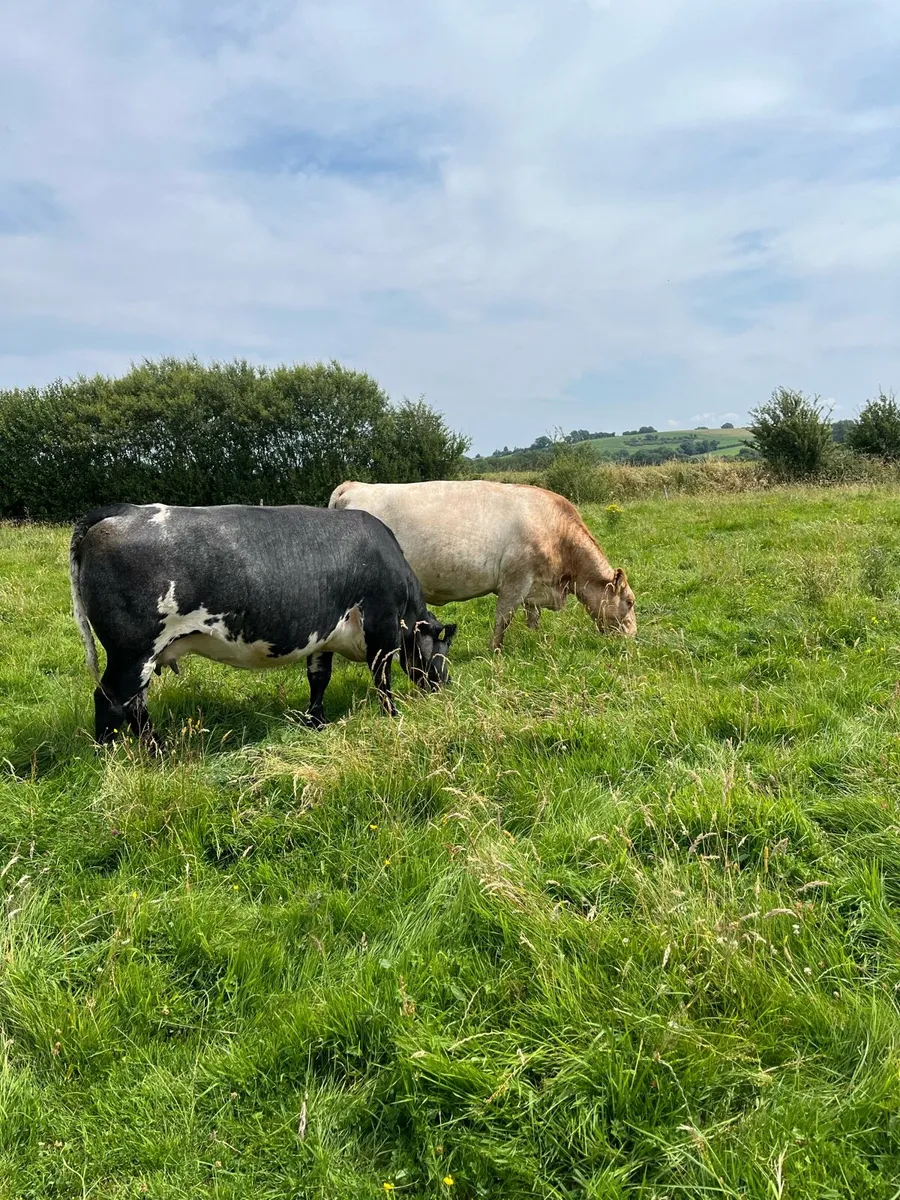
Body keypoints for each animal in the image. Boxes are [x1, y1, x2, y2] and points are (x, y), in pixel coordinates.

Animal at [70, 502, 457, 751]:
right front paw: (392, 716)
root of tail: (124, 510)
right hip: (132, 650)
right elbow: (382, 679)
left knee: (135, 704)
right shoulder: (382, 625)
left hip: (142, 655)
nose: (445, 686)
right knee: (110, 700)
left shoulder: (322, 635)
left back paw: (157, 750)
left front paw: (316, 723)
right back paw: (110, 756)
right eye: (441, 651)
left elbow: (319, 678)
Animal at [329, 479, 636, 650]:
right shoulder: (515, 580)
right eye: (630, 602)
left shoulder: (535, 585)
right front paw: (494, 650)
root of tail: (353, 486)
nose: (632, 636)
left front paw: (536, 640)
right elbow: (504, 618)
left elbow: (533, 618)